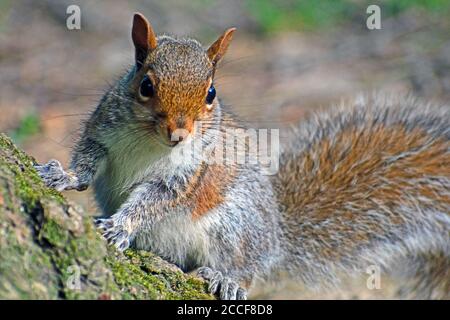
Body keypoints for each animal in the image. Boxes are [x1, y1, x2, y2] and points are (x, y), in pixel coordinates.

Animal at [36, 12, 450, 300]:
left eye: (211, 93)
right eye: (145, 85)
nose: (179, 133)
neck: (150, 143)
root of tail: (276, 244)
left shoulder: (190, 174)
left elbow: (155, 200)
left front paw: (121, 225)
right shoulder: (102, 131)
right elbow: (87, 163)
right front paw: (62, 176)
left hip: (235, 226)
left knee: (248, 270)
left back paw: (227, 278)